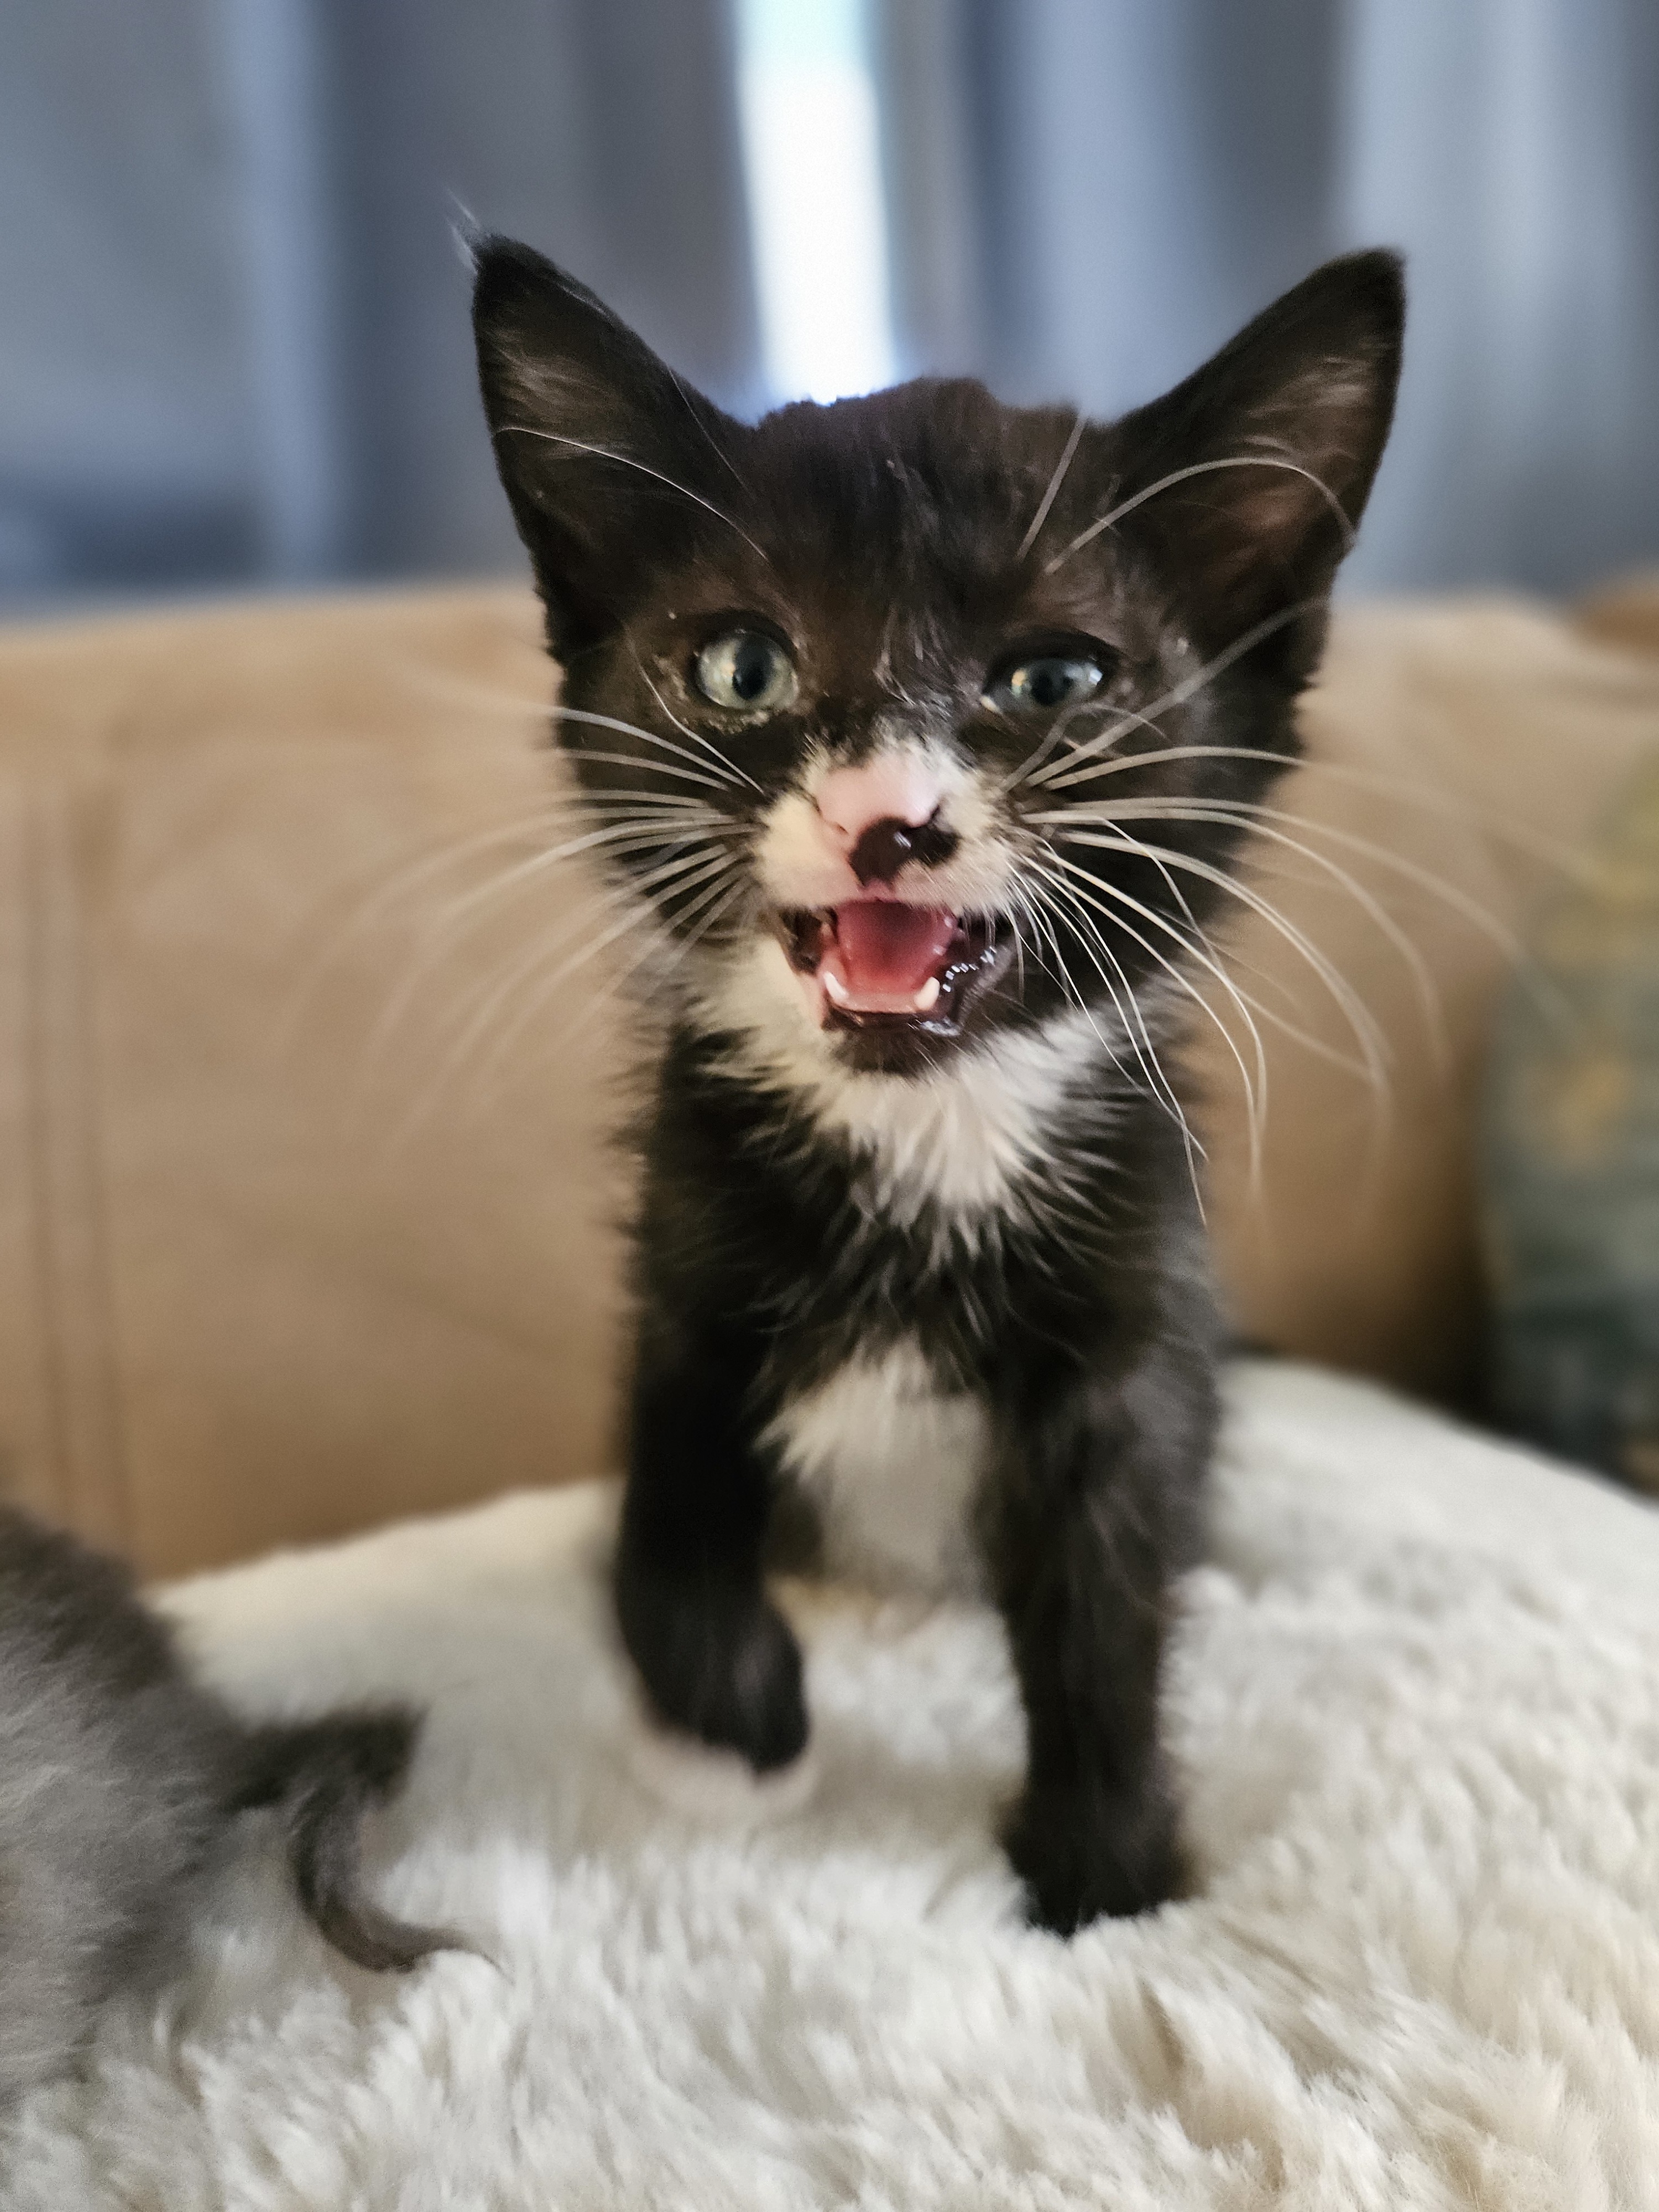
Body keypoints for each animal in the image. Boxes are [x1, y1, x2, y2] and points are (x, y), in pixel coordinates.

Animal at [473, 247, 1407, 1938]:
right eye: (742, 664)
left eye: (1054, 676)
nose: (884, 817)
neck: (924, 1124)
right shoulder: (683, 1265)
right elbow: (665, 1512)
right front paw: (727, 1724)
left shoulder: (1131, 1318)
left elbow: (1106, 1602)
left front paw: (1104, 1869)